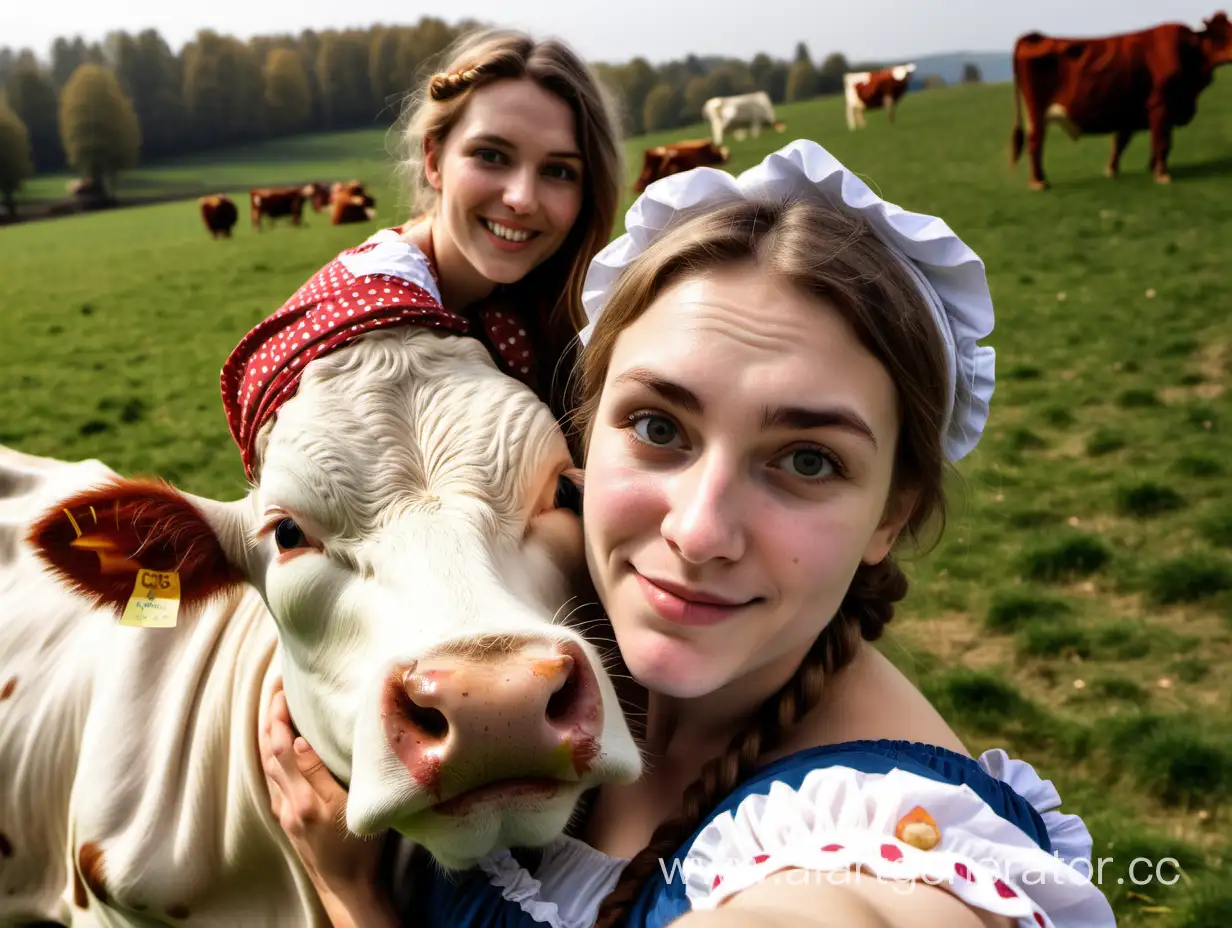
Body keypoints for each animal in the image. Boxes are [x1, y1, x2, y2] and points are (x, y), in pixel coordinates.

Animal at [1010, 12, 1232, 188]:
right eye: (1221, 34)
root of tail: (1036, 36)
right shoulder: (1160, 104)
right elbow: (1161, 141)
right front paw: (1161, 174)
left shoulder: (1142, 111)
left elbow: (1130, 141)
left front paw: (1135, 168)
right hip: (1037, 112)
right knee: (1035, 142)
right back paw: (1039, 182)